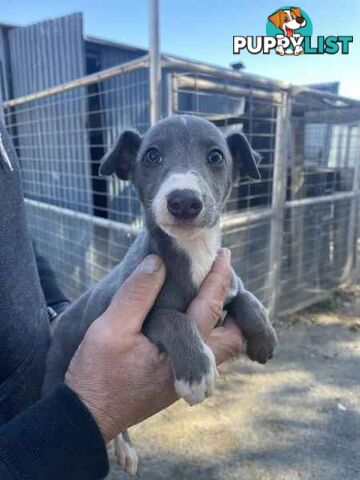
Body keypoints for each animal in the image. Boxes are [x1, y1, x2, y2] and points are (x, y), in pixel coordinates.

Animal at [43, 114, 278, 474]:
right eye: (152, 155)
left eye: (216, 156)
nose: (184, 201)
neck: (192, 252)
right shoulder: (136, 318)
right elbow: (172, 318)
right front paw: (196, 371)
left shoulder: (224, 281)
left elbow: (246, 296)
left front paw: (264, 337)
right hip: (55, 371)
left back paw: (125, 450)